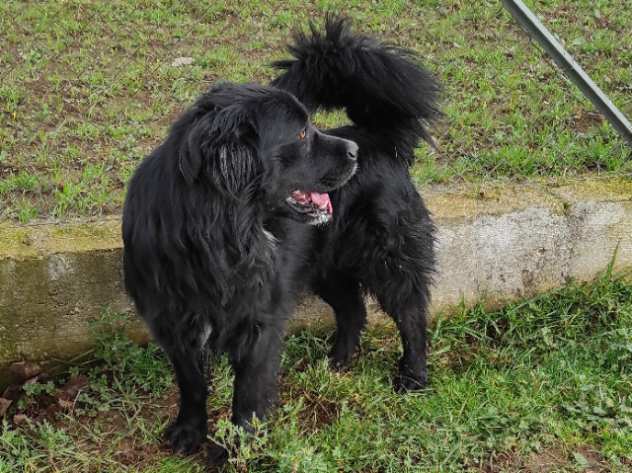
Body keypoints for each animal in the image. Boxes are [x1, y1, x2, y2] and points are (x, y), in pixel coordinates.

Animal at [122, 15, 440, 460]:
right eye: (302, 134)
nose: (353, 152)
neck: (217, 234)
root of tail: (376, 136)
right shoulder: (174, 322)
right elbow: (192, 384)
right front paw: (189, 432)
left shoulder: (260, 320)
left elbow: (248, 393)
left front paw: (238, 450)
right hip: (325, 267)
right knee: (353, 309)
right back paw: (337, 362)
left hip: (388, 256)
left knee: (411, 313)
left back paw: (412, 376)